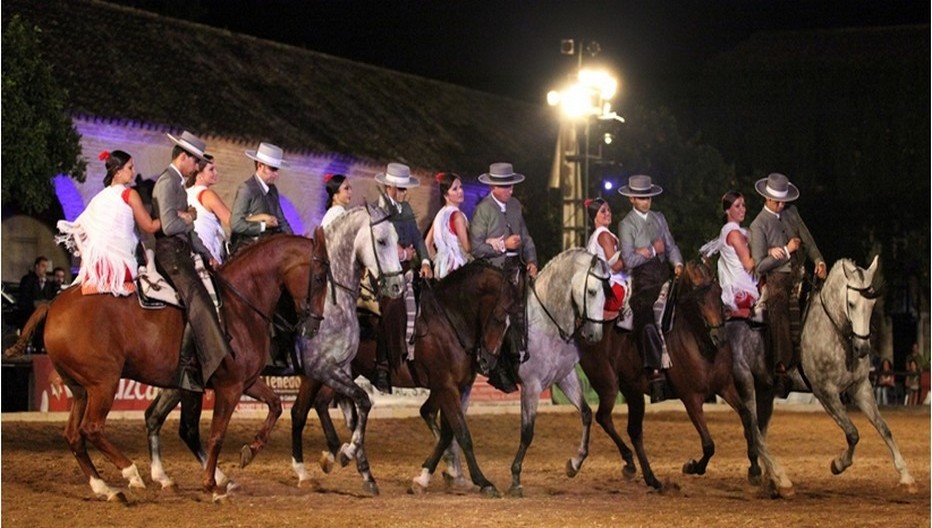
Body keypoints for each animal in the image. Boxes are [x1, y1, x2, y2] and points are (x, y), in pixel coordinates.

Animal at [14, 233, 332, 502]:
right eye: (318, 277)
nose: (315, 324)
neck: (240, 305)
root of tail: (53, 304)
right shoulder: (229, 387)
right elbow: (216, 433)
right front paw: (211, 485)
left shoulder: (246, 381)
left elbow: (275, 405)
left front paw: (250, 451)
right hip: (103, 383)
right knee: (91, 429)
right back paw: (131, 473)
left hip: (81, 389)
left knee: (74, 435)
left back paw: (106, 488)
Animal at [290, 262, 516, 498]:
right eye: (499, 316)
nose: (487, 361)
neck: (448, 321)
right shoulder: (446, 386)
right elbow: (462, 434)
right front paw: (484, 482)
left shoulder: (452, 387)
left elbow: (445, 432)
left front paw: (423, 478)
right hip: (319, 372)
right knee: (300, 412)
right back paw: (310, 471)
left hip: (342, 372)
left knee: (324, 404)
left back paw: (343, 460)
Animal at [576, 260, 748, 490]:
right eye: (698, 300)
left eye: (718, 293)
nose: (718, 337)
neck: (700, 343)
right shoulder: (691, 398)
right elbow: (708, 444)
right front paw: (691, 466)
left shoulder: (725, 387)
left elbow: (746, 415)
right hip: (608, 384)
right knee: (604, 417)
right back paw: (629, 464)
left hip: (632, 391)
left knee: (634, 430)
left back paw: (651, 478)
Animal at [800, 258, 916, 492]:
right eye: (851, 304)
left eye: (872, 306)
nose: (862, 348)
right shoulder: (825, 393)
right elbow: (852, 433)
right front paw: (838, 464)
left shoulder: (860, 387)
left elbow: (884, 428)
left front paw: (905, 475)